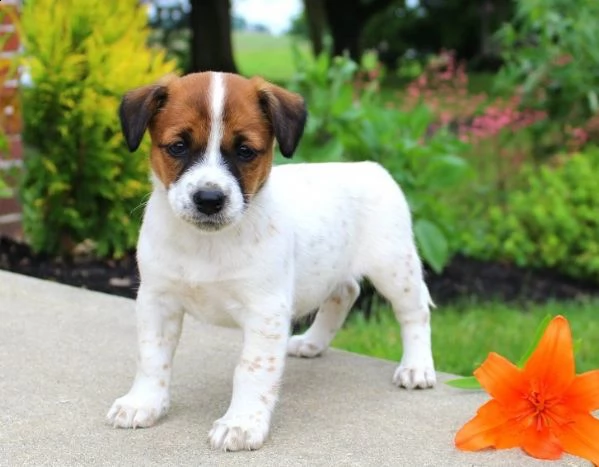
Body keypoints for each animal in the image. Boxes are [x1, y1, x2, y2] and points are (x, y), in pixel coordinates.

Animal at [108, 72, 436, 450]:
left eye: (245, 151)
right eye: (177, 146)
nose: (209, 199)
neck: (207, 244)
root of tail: (369, 167)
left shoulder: (264, 311)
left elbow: (252, 370)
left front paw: (241, 423)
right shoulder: (156, 300)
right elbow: (152, 358)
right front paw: (143, 403)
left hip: (395, 268)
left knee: (415, 313)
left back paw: (417, 367)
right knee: (346, 292)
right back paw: (312, 342)